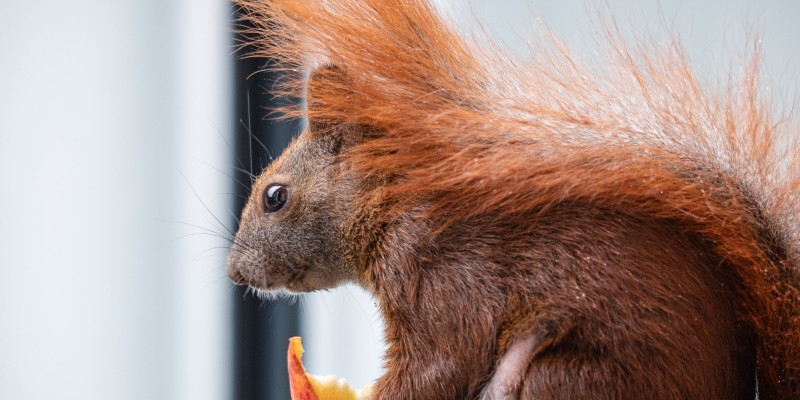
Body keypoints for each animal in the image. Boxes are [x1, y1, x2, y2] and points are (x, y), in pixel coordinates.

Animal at [225, 0, 800, 400]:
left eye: (275, 196)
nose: (234, 272)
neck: (392, 205)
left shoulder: (446, 271)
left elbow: (442, 363)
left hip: (569, 378)